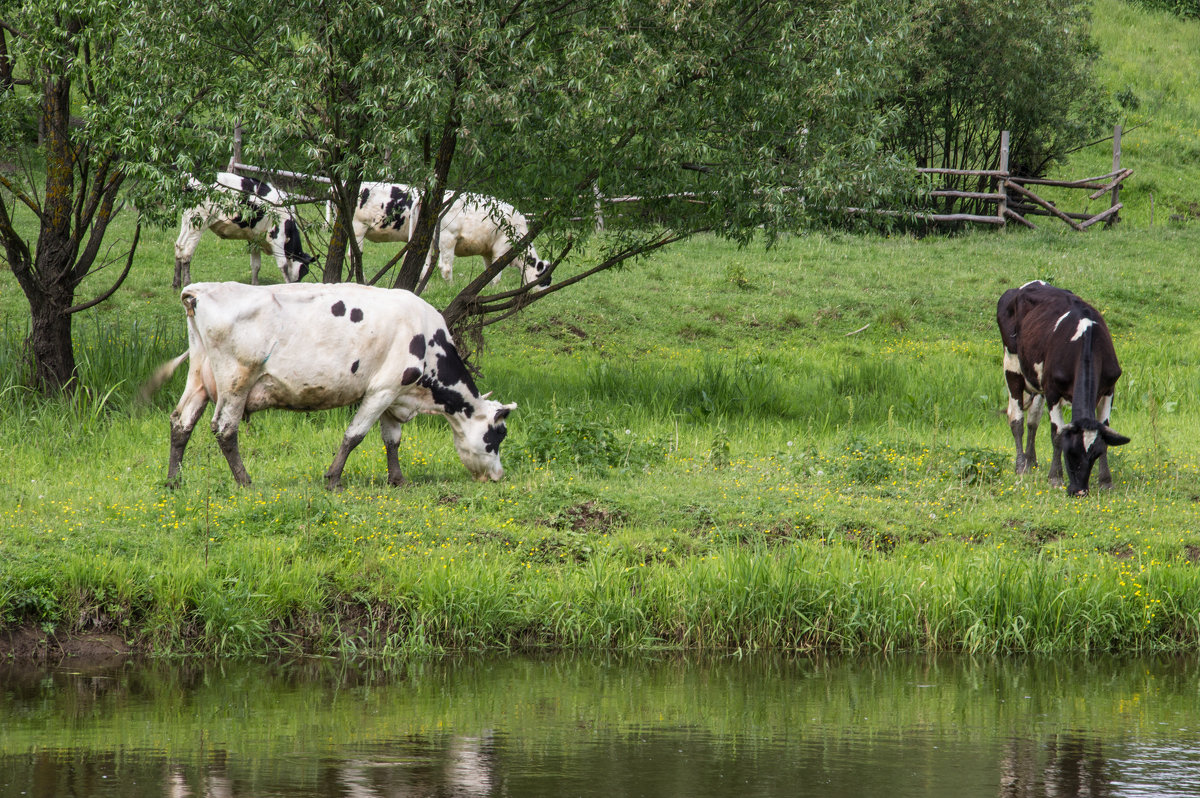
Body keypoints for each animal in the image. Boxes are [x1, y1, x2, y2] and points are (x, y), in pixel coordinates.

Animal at [140, 279, 516, 492]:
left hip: (199, 378)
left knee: (181, 422)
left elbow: (392, 440)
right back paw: (245, 482)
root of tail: (200, 290)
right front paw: (333, 479)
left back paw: (174, 481)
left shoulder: (395, 395)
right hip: (236, 381)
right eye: (498, 435)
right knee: (225, 429)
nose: (498, 476)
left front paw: (398, 480)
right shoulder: (382, 390)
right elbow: (355, 435)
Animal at [175, 172, 316, 291]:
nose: (298, 284)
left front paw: (255, 285)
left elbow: (256, 265)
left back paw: (176, 285)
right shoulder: (277, 237)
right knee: (187, 252)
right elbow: (283, 266)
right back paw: (187, 284)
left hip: (187, 220)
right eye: (305, 270)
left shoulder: (254, 239)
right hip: (198, 222)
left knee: (179, 246)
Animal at [998, 278, 1128, 492]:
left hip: (1037, 381)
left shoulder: (1110, 388)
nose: (1079, 491)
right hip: (1012, 364)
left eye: (1094, 455)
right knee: (1016, 420)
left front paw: (1105, 481)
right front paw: (1055, 477)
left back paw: (1031, 461)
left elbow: (1105, 431)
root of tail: (1029, 284)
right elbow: (1057, 435)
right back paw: (1021, 465)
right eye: (1070, 453)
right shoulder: (1052, 391)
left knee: (1033, 420)